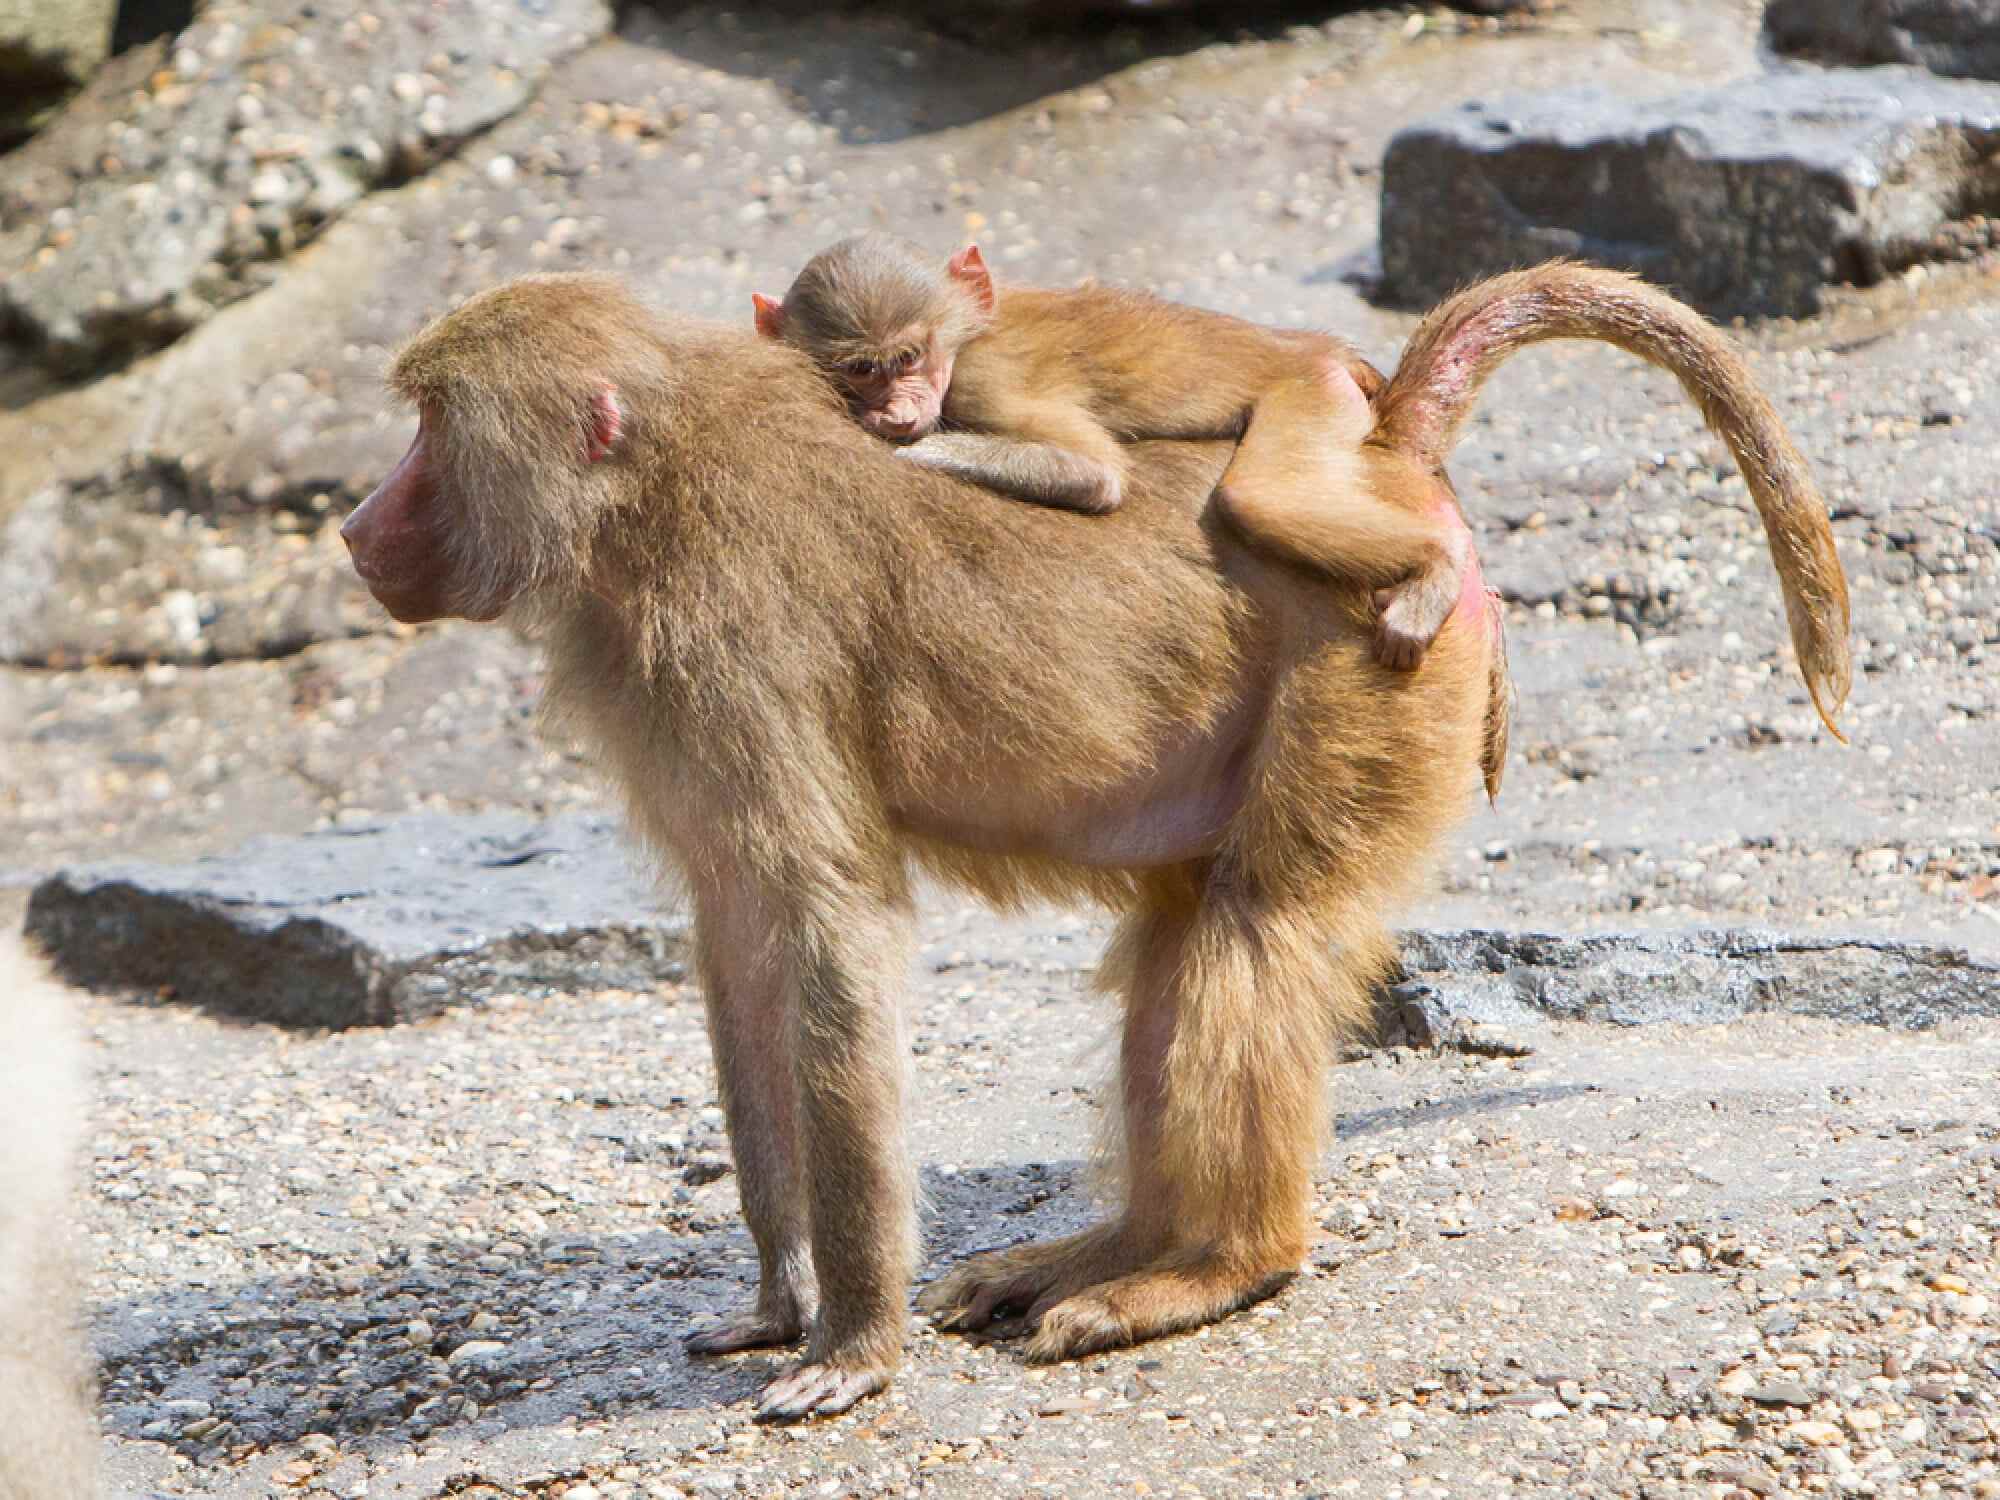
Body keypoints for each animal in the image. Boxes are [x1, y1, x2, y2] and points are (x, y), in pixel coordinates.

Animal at [752, 233, 1474, 673]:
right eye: (860, 370)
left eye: (908, 357)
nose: (897, 411)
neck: (963, 340)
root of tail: (1320, 349)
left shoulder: (986, 380)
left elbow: (1093, 474)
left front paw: (914, 451)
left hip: (1312, 393)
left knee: (1258, 499)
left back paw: (1436, 564)